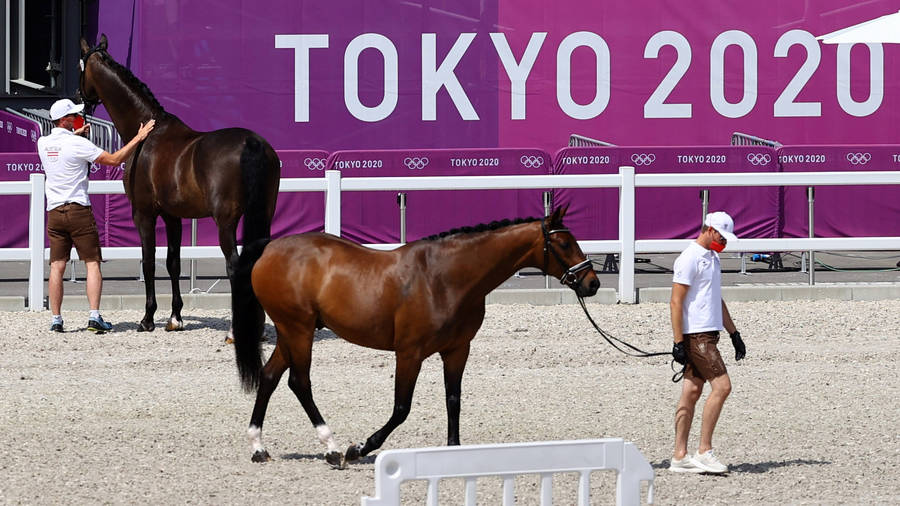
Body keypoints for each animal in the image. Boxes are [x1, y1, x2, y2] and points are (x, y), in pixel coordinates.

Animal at [78, 34, 280, 332]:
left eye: (80, 67)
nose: (79, 100)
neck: (149, 133)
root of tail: (253, 144)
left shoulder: (143, 213)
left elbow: (149, 262)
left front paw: (147, 318)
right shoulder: (172, 216)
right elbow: (173, 262)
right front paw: (175, 317)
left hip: (226, 221)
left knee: (235, 266)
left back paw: (235, 331)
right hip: (263, 214)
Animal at [231, 206, 600, 466]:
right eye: (564, 243)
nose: (592, 282)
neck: (444, 278)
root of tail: (271, 248)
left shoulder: (457, 350)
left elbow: (453, 400)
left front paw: (454, 451)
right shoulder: (409, 353)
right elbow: (401, 408)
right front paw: (360, 447)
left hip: (290, 331)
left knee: (269, 377)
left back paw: (258, 447)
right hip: (299, 330)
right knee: (299, 382)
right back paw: (333, 449)